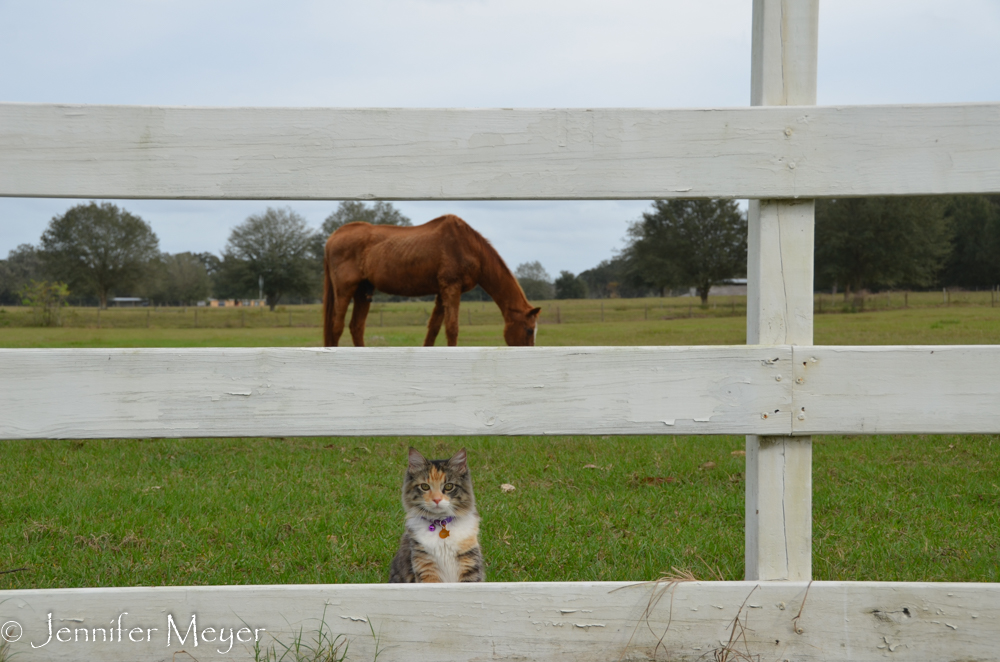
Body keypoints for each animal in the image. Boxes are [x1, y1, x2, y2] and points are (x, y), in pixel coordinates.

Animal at [322, 217, 540, 350]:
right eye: (529, 330)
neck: (468, 247)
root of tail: (333, 237)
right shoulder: (451, 289)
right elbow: (452, 328)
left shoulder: (441, 293)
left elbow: (433, 329)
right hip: (345, 291)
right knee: (337, 326)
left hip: (363, 292)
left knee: (356, 327)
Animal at [386, 448, 484, 584]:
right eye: (425, 486)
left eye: (449, 486)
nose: (437, 499)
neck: (441, 523)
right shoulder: (427, 567)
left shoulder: (469, 564)